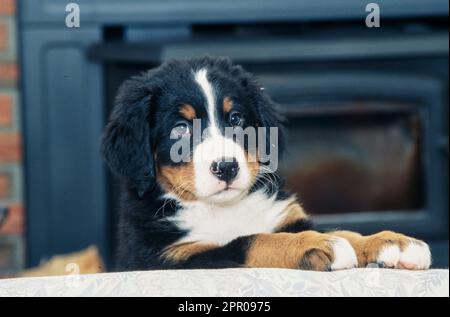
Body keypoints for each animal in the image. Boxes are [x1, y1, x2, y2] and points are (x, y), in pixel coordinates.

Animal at [102, 56, 432, 270]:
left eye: (236, 118)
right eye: (180, 128)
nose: (226, 168)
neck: (223, 208)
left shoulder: (288, 217)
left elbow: (344, 232)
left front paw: (392, 241)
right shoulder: (169, 257)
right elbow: (250, 241)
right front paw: (313, 245)